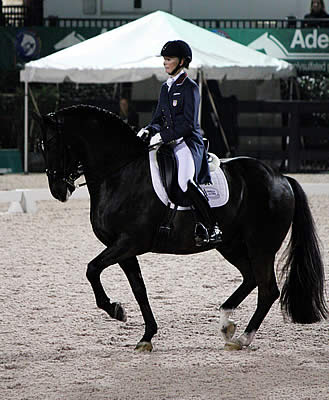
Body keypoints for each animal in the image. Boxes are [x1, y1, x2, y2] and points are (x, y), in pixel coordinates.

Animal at [32, 104, 326, 352]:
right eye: (41, 146)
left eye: (54, 143)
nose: (58, 190)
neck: (120, 173)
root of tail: (282, 178)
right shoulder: (122, 247)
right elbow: (139, 289)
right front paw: (146, 336)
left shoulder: (130, 242)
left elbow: (92, 269)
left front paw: (115, 310)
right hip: (230, 244)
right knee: (250, 278)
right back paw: (226, 323)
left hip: (260, 247)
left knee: (267, 289)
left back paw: (242, 338)